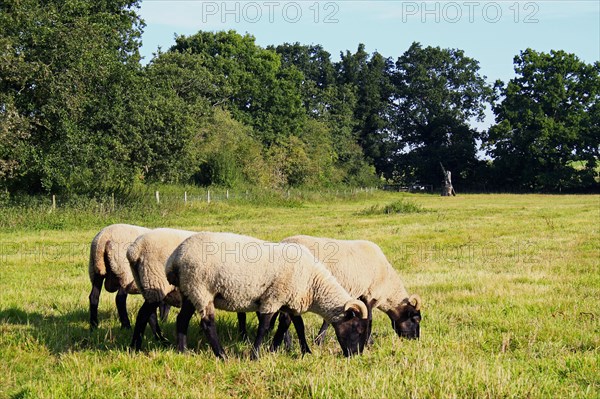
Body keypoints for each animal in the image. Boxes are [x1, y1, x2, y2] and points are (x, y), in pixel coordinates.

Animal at [165, 231, 370, 360]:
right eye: (358, 329)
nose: (355, 355)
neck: (313, 283)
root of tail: (175, 258)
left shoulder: (290, 300)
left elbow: (296, 326)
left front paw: (303, 351)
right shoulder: (273, 298)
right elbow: (264, 327)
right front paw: (256, 355)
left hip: (189, 290)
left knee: (182, 319)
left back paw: (182, 351)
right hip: (201, 287)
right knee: (207, 324)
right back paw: (222, 356)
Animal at [282, 236, 422, 346]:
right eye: (415, 319)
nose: (415, 339)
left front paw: (318, 341)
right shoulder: (369, 295)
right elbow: (369, 319)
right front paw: (369, 342)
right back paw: (288, 345)